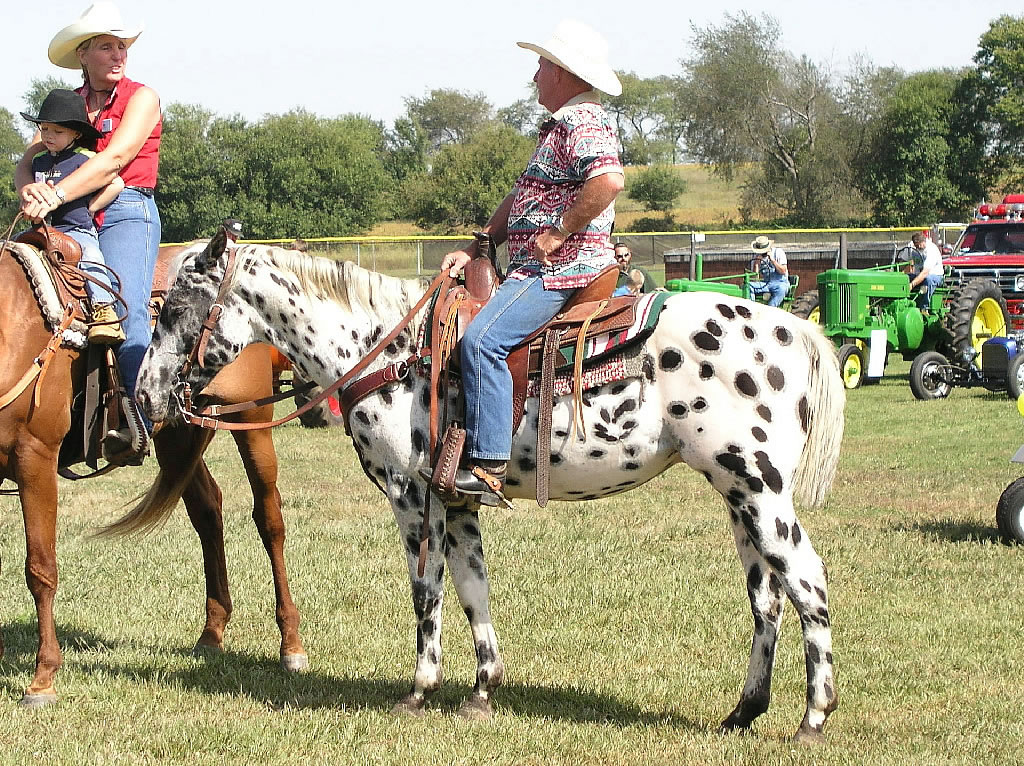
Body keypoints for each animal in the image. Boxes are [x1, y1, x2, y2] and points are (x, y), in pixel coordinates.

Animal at [0, 237, 307, 704]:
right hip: (178, 433)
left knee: (269, 519)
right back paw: (212, 632)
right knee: (208, 511)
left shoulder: (34, 457)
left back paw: (290, 645)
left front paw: (43, 677)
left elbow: (41, 568)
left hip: (251, 420)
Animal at [132, 233, 843, 741]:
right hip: (736, 495)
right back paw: (743, 713)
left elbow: (427, 592)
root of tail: (792, 329)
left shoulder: (411, 497)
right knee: (768, 601)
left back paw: (812, 720)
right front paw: (481, 689)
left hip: (758, 490)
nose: (144, 394)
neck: (387, 349)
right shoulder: (459, 501)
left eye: (176, 308)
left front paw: (420, 689)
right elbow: (474, 587)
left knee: (807, 584)